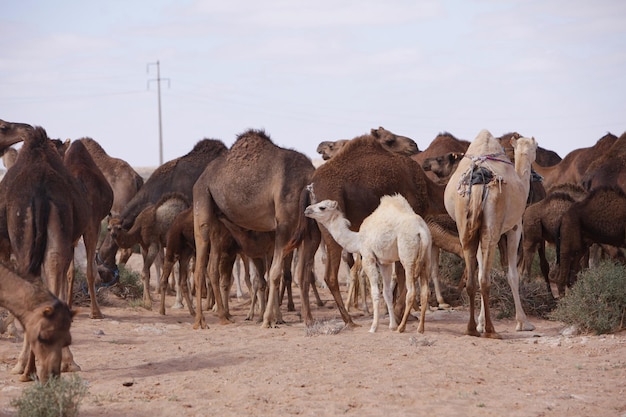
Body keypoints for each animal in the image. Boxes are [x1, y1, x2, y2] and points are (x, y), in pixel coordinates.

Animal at [193, 129, 314, 328]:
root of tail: (201, 179)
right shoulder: (283, 226)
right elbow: (274, 273)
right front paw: (267, 320)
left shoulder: (306, 232)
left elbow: (303, 274)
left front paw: (308, 319)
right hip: (202, 200)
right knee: (200, 262)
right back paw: (200, 322)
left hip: (218, 220)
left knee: (212, 268)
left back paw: (223, 317)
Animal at [304, 193, 432, 334]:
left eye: (322, 207)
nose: (307, 210)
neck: (357, 240)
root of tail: (421, 231)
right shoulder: (385, 263)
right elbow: (386, 293)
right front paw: (391, 325)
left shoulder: (368, 257)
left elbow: (375, 292)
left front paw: (374, 327)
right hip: (426, 258)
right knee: (425, 292)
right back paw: (420, 328)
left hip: (407, 256)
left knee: (411, 291)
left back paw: (402, 327)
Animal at [442, 128, 532, 336]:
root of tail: (477, 184)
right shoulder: (515, 228)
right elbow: (513, 275)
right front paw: (523, 322)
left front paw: (481, 322)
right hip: (492, 227)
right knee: (485, 278)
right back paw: (491, 330)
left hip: (465, 223)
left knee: (475, 278)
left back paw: (473, 328)